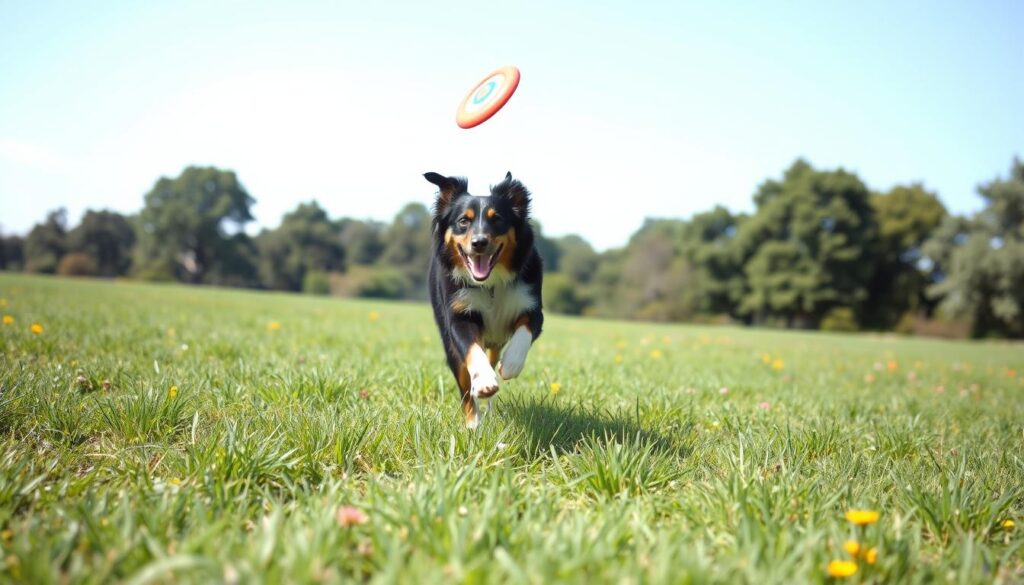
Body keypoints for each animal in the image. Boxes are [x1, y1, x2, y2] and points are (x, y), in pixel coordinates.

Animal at [423, 172, 544, 428]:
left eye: (496, 219)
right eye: (463, 221)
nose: (479, 242)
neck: (490, 284)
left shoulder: (532, 308)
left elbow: (524, 332)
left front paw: (511, 364)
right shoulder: (459, 316)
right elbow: (472, 350)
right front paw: (485, 381)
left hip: (496, 341)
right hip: (449, 344)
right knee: (465, 387)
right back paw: (473, 424)